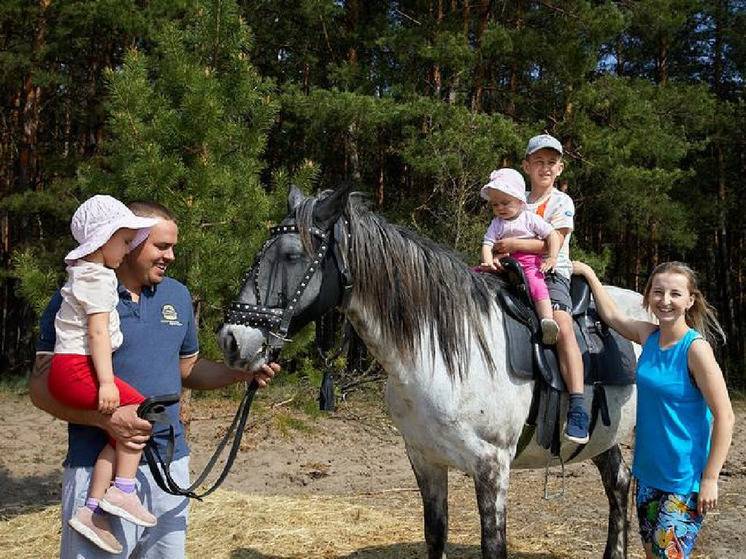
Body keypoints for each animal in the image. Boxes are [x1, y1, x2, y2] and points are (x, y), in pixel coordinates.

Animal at [218, 186, 644, 556]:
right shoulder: (424, 459)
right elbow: (435, 533)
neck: (441, 355)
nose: (232, 340)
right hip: (604, 437)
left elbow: (493, 546)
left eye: (291, 255)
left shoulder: (492, 468)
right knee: (618, 483)